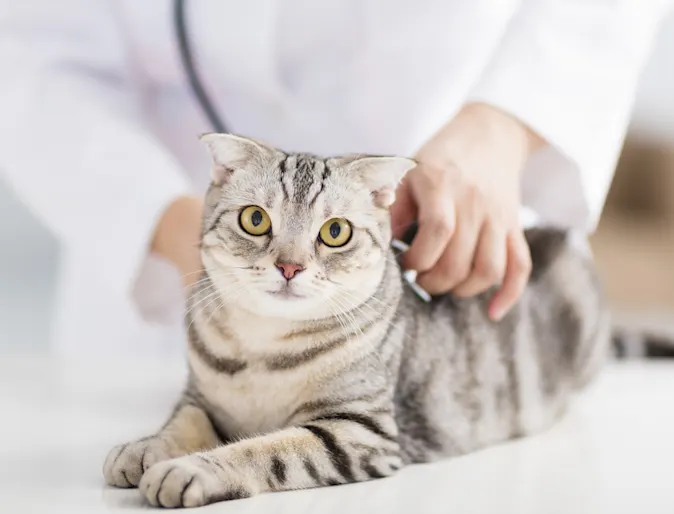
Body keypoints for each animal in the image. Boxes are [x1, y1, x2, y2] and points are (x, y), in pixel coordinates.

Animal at [101, 132, 608, 504]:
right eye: (255, 220)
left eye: (335, 232)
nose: (290, 266)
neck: (262, 350)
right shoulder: (201, 398)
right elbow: (180, 423)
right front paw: (144, 447)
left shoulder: (357, 431)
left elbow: (264, 450)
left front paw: (190, 468)